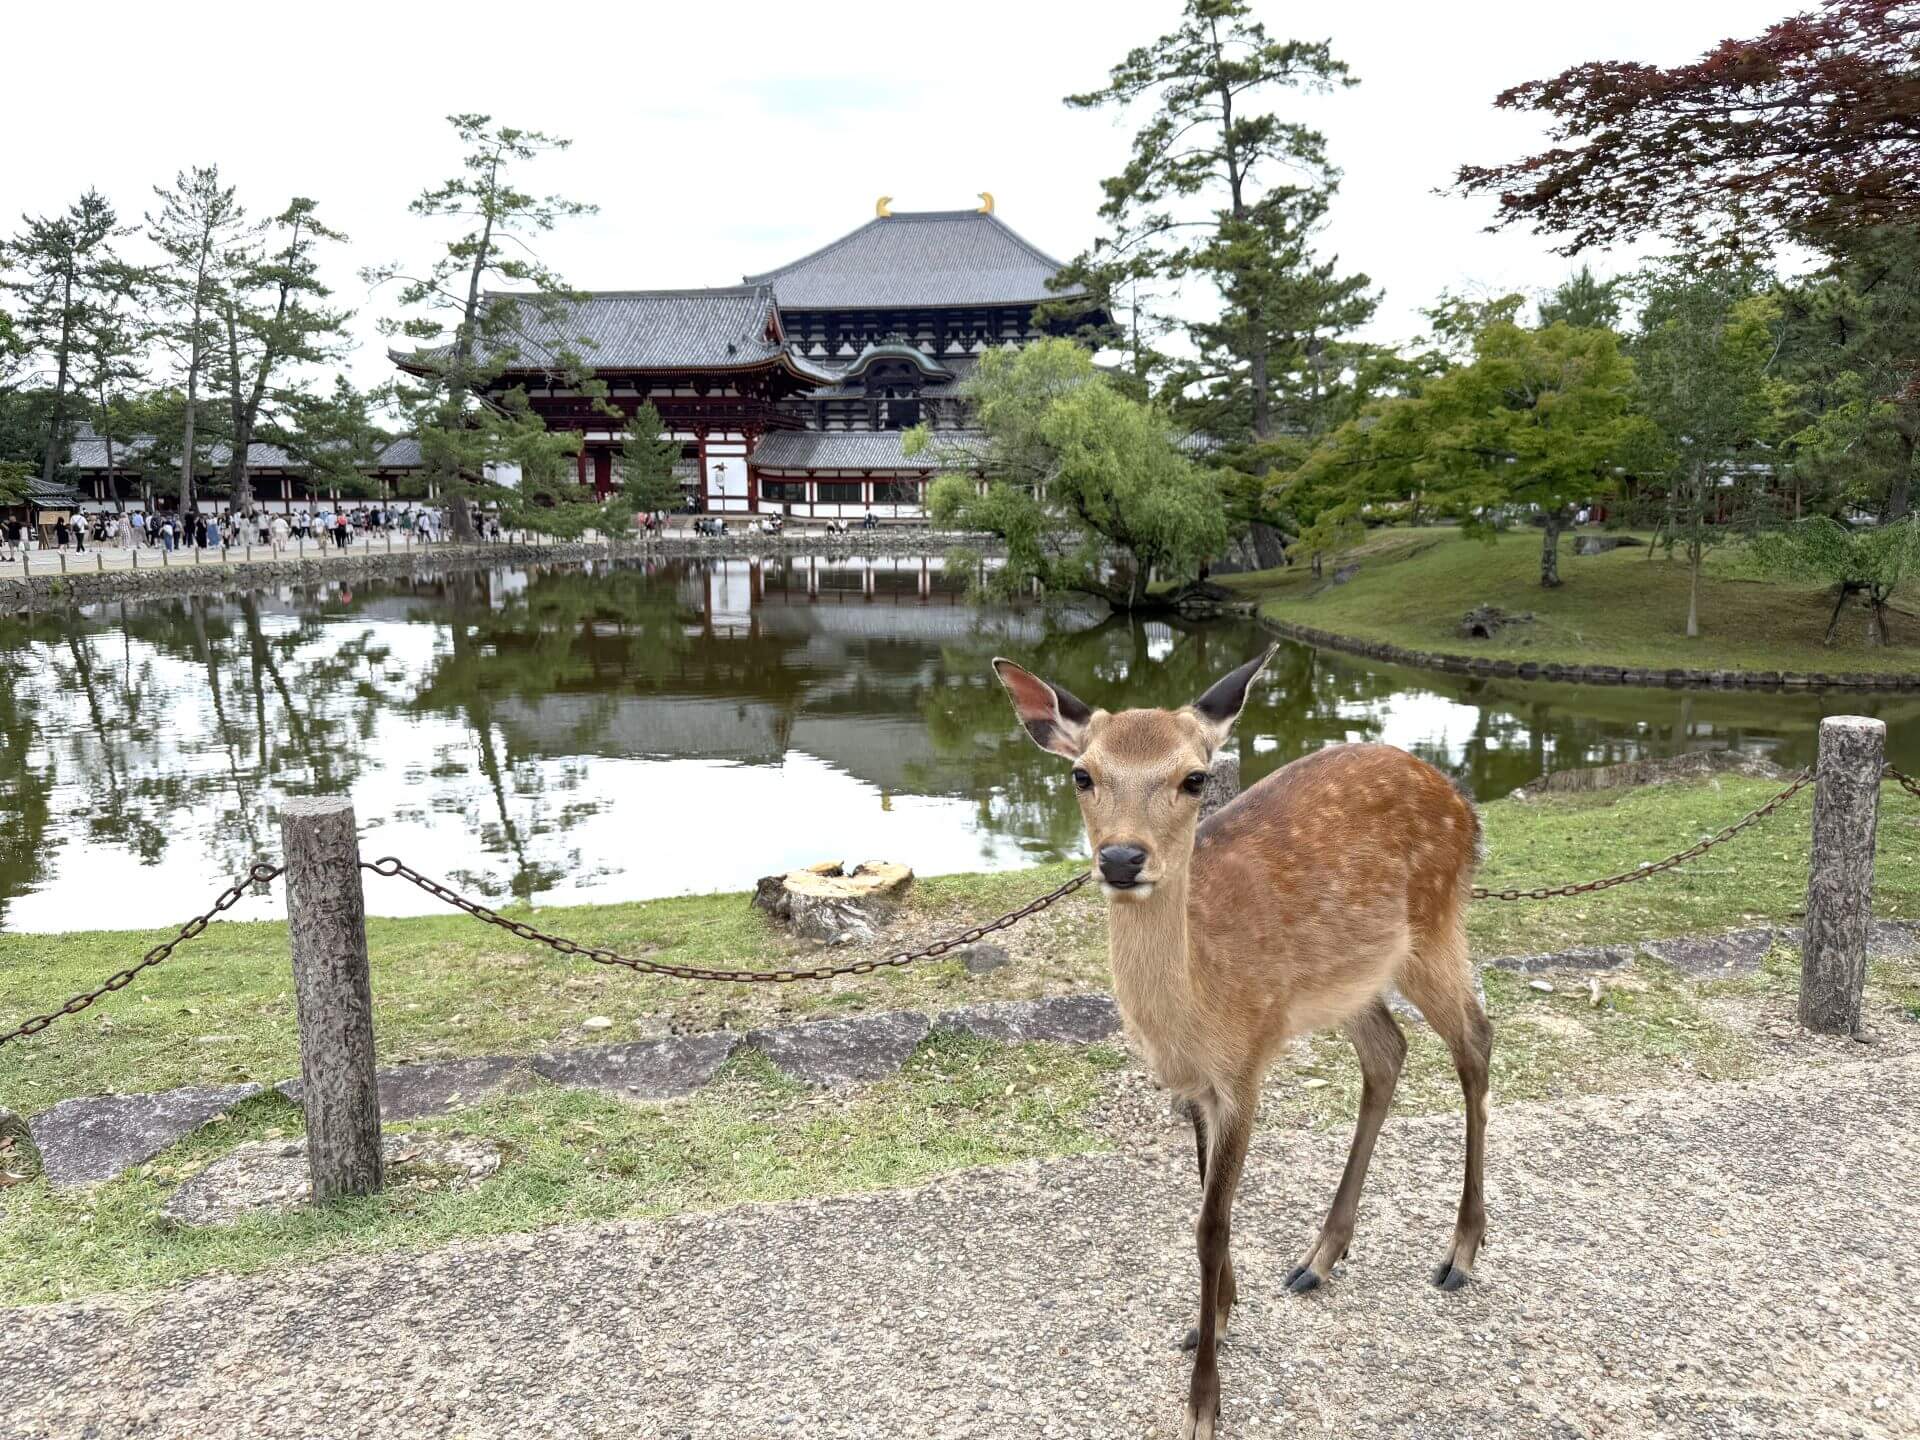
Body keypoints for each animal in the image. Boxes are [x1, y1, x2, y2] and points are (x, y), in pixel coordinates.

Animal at [991, 645, 1492, 1440]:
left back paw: (1461, 1254)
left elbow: (1211, 1225)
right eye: (1082, 774)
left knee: (1475, 1039)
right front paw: (1216, 1319)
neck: (1196, 1014)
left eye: (1194, 778)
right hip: (1347, 980)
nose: (1122, 858)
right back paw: (1319, 1258)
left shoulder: (1248, 1064)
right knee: (1388, 1053)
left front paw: (1203, 1401)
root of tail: (1467, 807)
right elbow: (1202, 1202)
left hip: (1436, 928)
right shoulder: (1196, 1086)